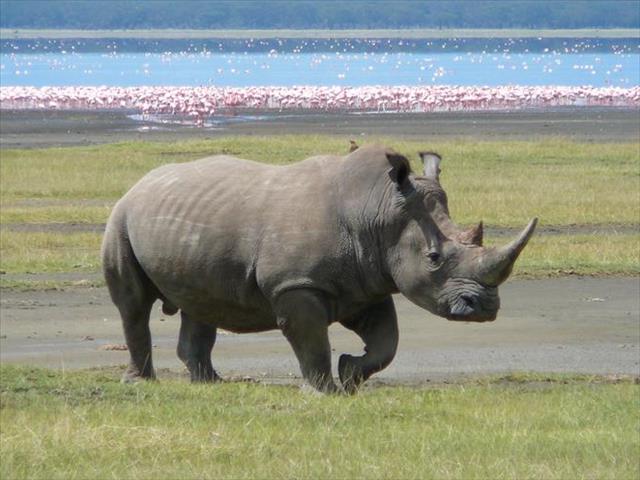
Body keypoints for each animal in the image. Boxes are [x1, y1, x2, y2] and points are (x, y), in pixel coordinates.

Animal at [102, 145, 536, 393]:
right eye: (433, 259)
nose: (485, 309)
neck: (377, 210)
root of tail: (140, 183)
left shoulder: (367, 282)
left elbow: (387, 342)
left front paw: (350, 375)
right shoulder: (297, 284)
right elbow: (311, 341)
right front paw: (324, 392)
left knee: (200, 301)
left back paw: (210, 384)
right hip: (120, 217)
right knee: (133, 305)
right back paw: (141, 383)